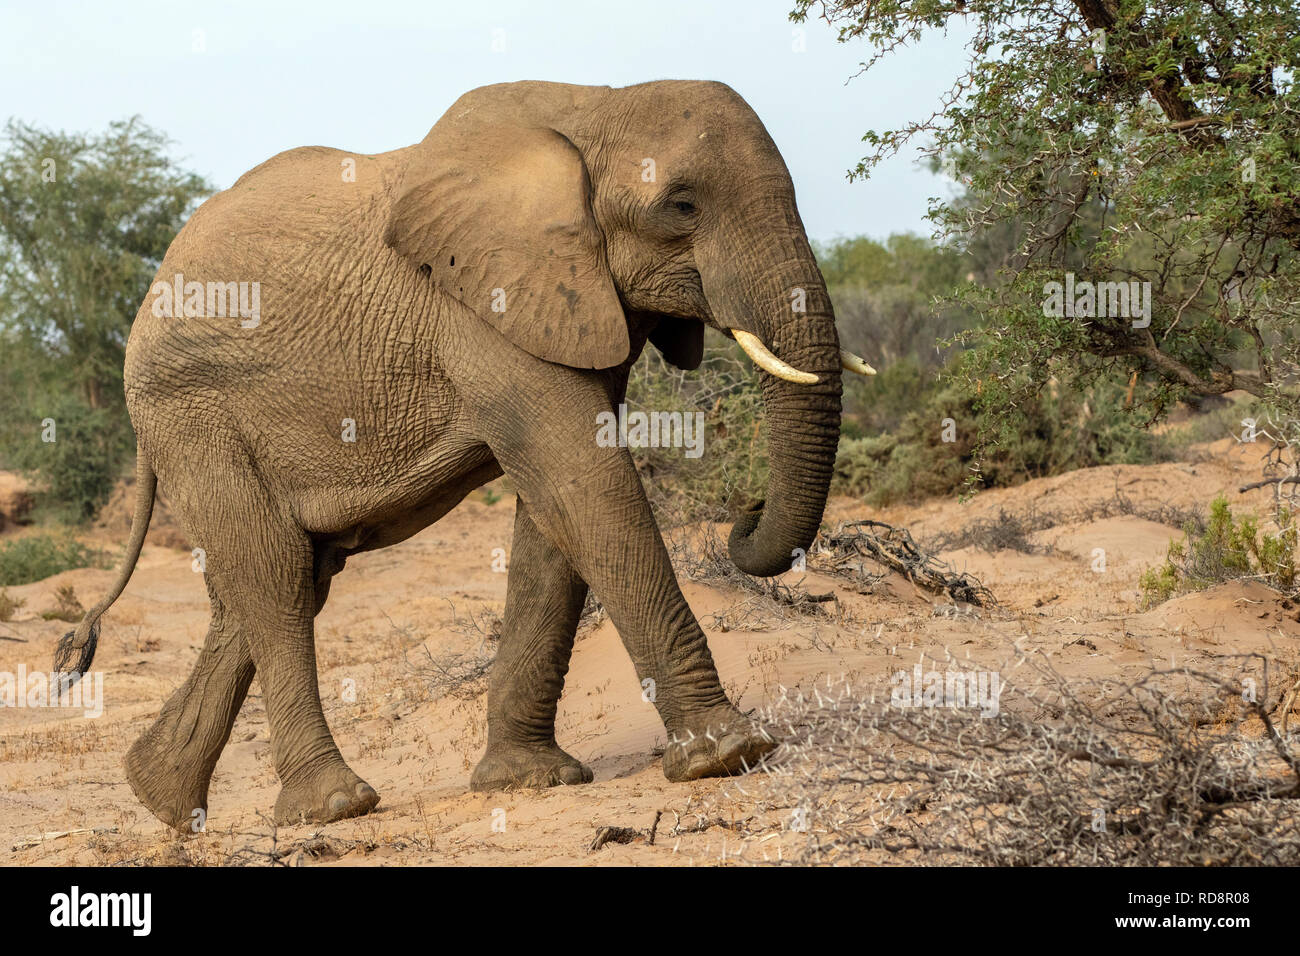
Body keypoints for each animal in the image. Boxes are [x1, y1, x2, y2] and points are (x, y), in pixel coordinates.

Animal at [58, 82, 873, 832]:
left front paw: (530, 780)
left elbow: (557, 511)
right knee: (274, 577)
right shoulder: (484, 310)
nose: (746, 513)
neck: (592, 106)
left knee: (276, 579)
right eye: (682, 206)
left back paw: (161, 797)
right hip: (192, 411)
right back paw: (334, 807)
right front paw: (727, 755)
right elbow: (583, 484)